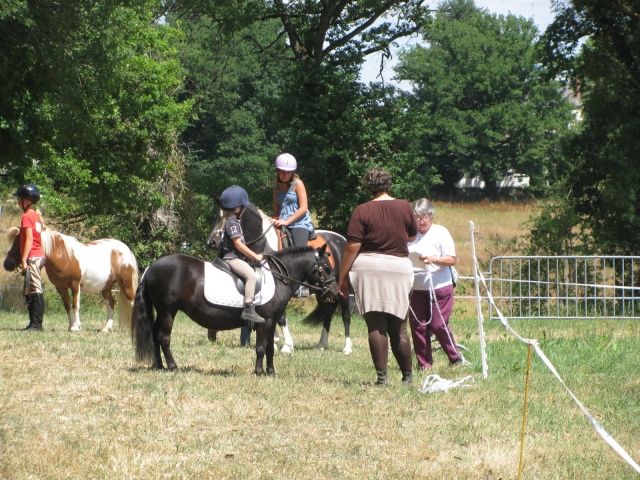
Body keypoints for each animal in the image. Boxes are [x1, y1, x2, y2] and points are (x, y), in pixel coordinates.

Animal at [4, 227, 138, 332]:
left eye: (18, 243)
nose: (6, 264)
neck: (64, 256)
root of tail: (126, 249)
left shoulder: (75, 285)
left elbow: (75, 305)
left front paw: (76, 327)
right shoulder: (61, 288)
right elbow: (67, 306)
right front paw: (71, 326)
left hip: (126, 284)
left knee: (132, 301)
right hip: (106, 286)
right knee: (111, 304)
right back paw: (106, 328)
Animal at [132, 244, 338, 376]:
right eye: (326, 268)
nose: (335, 293)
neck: (278, 278)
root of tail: (152, 267)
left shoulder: (272, 322)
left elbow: (270, 348)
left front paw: (271, 372)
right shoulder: (265, 322)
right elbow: (261, 348)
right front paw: (258, 371)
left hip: (162, 312)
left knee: (155, 335)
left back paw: (159, 366)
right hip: (168, 311)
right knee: (164, 338)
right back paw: (173, 366)